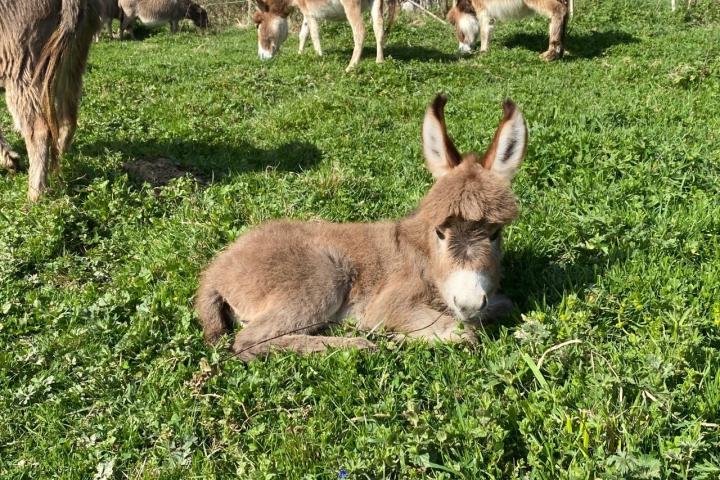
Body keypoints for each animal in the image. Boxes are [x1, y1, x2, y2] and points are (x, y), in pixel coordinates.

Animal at [197, 95, 528, 362]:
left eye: (495, 234)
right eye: (439, 232)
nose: (469, 303)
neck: (424, 256)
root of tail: (216, 271)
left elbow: (504, 305)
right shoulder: (390, 303)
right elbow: (465, 332)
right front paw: (396, 336)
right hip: (322, 279)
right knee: (248, 341)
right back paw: (357, 344)